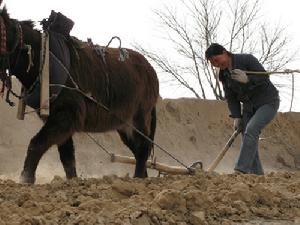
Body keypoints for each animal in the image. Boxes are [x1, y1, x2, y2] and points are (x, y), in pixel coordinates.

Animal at [0, 7, 159, 183]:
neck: (43, 57)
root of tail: (151, 70)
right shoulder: (58, 119)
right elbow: (67, 156)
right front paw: (73, 181)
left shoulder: (66, 115)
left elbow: (37, 144)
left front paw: (25, 179)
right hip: (124, 124)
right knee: (138, 150)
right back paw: (142, 177)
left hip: (139, 117)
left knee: (143, 147)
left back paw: (138, 179)